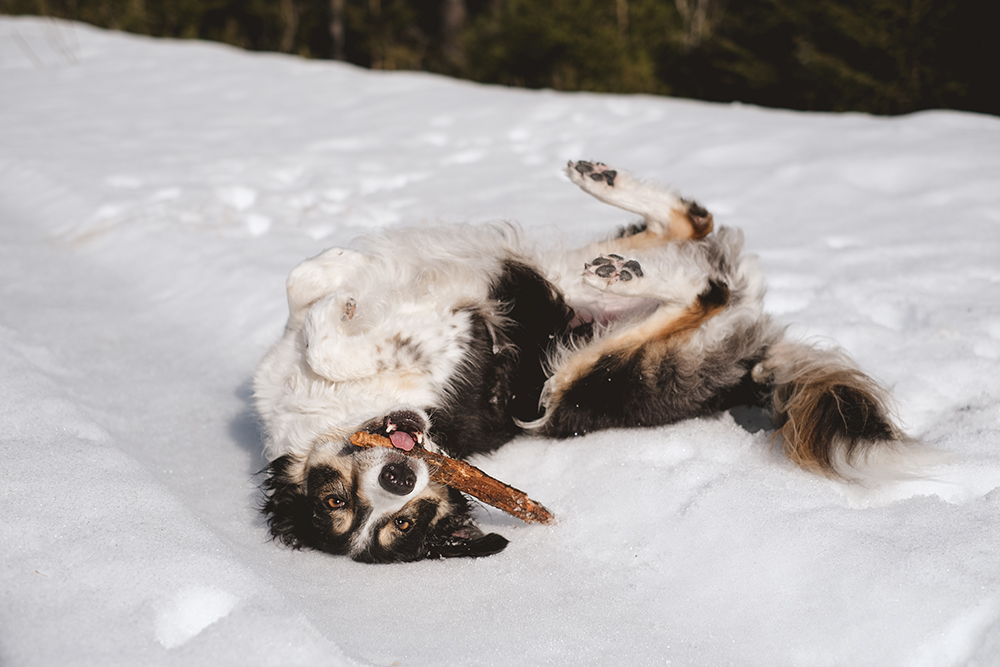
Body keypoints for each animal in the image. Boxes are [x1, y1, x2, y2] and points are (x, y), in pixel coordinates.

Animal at [254, 162, 912, 564]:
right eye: (340, 507)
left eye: (405, 517)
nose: (399, 478)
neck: (331, 413)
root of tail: (749, 365)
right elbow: (330, 334)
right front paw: (347, 307)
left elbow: (305, 291)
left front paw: (339, 277)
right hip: (581, 380)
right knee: (709, 286)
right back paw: (630, 269)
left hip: (572, 296)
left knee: (697, 238)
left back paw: (605, 197)